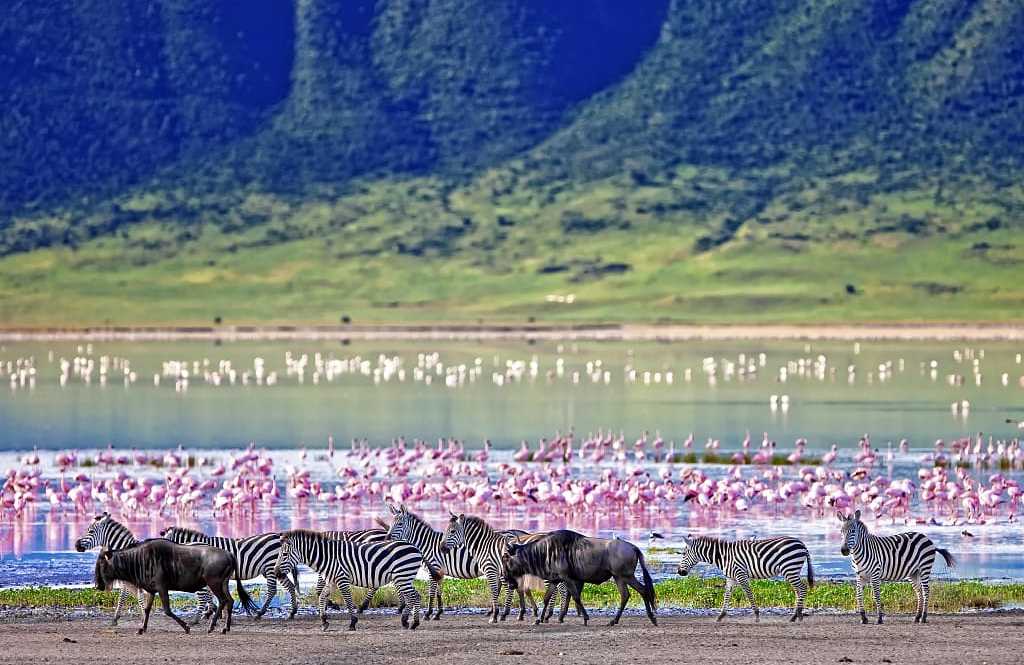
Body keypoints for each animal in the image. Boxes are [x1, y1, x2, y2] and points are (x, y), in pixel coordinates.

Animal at [75, 513, 213, 625]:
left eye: (90, 531)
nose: (76, 545)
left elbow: (133, 597)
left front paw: (141, 617)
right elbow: (126, 597)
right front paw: (118, 618)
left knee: (204, 595)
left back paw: (201, 618)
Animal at [159, 526, 300, 619]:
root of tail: (278, 536)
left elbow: (207, 594)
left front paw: (211, 611)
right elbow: (210, 594)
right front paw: (215, 611)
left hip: (271, 567)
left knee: (272, 590)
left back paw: (260, 613)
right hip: (277, 569)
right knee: (290, 586)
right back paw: (292, 612)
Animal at [273, 529, 424, 631]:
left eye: (284, 554)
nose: (276, 573)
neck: (328, 557)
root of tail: (415, 548)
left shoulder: (342, 579)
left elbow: (348, 600)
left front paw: (352, 622)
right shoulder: (332, 581)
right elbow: (322, 597)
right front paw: (324, 621)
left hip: (403, 576)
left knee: (414, 596)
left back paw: (413, 623)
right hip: (403, 577)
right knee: (413, 596)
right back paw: (406, 621)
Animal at [676, 534, 814, 622]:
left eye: (683, 554)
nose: (679, 572)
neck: (723, 556)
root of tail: (802, 544)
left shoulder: (740, 575)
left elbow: (749, 594)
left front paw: (757, 616)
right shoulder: (730, 578)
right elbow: (727, 595)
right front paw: (720, 616)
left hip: (789, 568)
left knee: (802, 588)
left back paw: (796, 616)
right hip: (792, 570)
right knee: (798, 590)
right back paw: (797, 616)